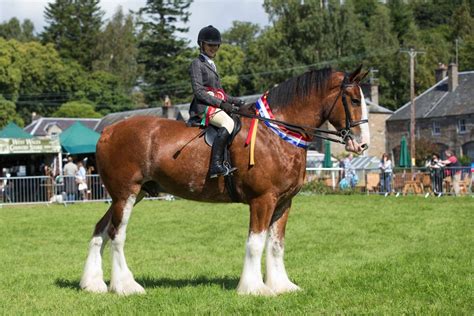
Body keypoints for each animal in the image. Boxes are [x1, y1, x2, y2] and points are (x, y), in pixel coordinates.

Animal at [80, 65, 370, 296]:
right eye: (355, 100)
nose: (362, 144)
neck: (277, 132)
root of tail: (108, 132)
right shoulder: (262, 200)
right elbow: (255, 243)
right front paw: (254, 288)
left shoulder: (284, 203)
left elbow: (276, 245)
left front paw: (281, 286)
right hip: (126, 194)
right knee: (116, 234)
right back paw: (126, 286)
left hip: (128, 195)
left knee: (100, 229)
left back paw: (93, 284)